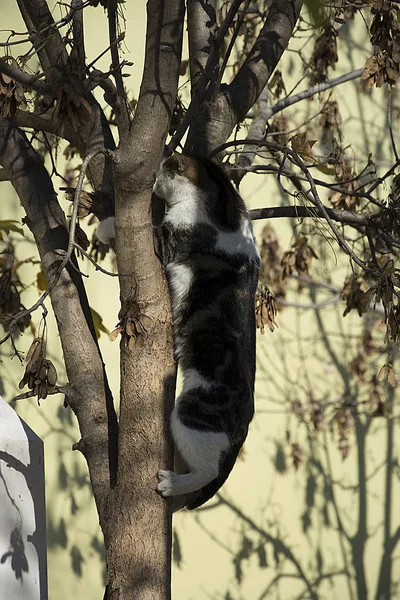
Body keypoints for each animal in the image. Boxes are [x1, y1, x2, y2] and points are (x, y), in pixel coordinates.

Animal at [152, 152, 260, 508]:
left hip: (190, 413)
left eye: (162, 171)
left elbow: (149, 230)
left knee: (207, 471)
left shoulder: (171, 239)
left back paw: (171, 484)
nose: (153, 181)